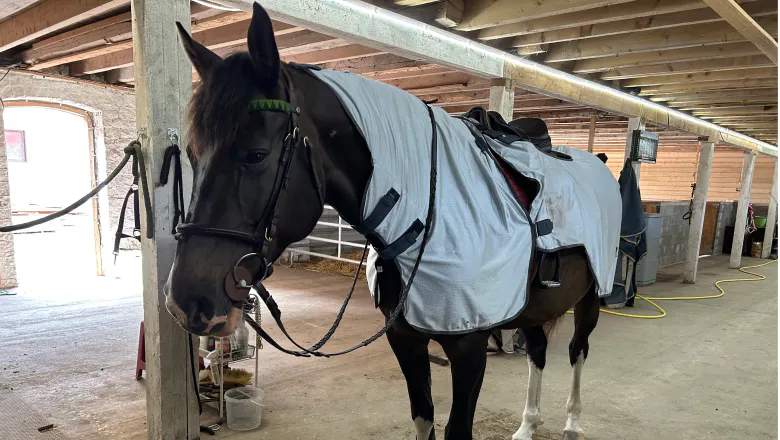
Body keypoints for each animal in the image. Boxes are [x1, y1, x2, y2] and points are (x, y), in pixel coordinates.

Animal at [165, 4, 605, 439]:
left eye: (256, 155)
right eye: (192, 154)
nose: (186, 303)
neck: (432, 214)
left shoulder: (470, 350)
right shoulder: (404, 339)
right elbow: (423, 416)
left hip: (590, 299)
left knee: (578, 351)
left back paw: (573, 423)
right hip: (536, 309)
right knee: (538, 353)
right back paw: (527, 426)